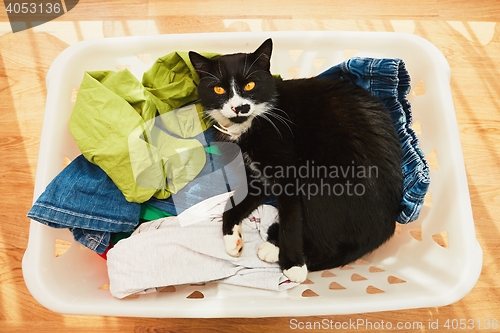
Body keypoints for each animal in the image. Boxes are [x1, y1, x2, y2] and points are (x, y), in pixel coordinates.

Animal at [188, 39, 402, 282]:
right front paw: (232, 238)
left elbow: (291, 219)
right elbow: (233, 203)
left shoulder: (287, 172)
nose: (239, 107)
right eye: (218, 89)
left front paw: (293, 264)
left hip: (323, 178)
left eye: (250, 85)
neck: (247, 127)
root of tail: (386, 227)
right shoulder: (256, 176)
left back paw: (276, 248)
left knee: (325, 243)